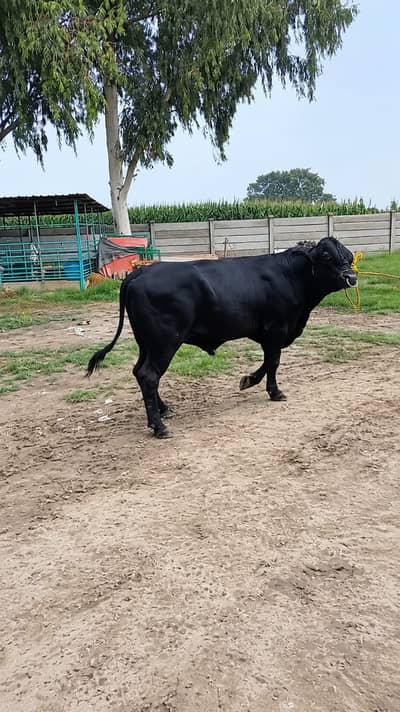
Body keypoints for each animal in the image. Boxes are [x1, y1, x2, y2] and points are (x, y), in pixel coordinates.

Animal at [87, 236, 357, 438]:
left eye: (349, 256)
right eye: (326, 256)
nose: (351, 278)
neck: (291, 275)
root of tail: (139, 274)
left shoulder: (268, 333)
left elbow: (267, 362)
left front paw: (248, 380)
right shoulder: (276, 329)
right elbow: (274, 362)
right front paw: (274, 392)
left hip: (147, 343)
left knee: (140, 372)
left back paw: (163, 410)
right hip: (165, 342)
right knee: (149, 375)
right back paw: (159, 427)